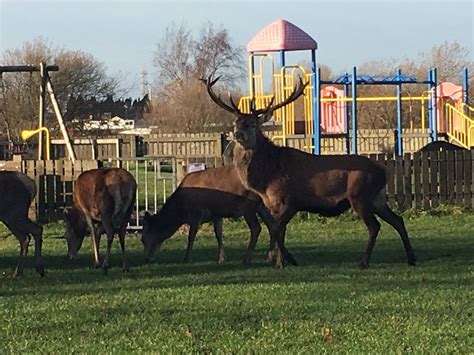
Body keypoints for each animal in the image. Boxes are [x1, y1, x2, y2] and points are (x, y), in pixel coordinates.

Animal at [142, 164, 274, 264]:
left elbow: (191, 236)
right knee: (271, 225)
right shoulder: (216, 214)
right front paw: (222, 258)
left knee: (256, 228)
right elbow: (218, 234)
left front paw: (187, 258)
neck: (181, 213)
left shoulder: (197, 214)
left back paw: (247, 259)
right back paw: (269, 257)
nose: (147, 259)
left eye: (143, 239)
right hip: (262, 206)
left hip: (248, 206)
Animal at [202, 76, 416, 268]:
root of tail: (383, 171)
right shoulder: (273, 205)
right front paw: (280, 262)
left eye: (253, 124)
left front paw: (288, 260)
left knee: (374, 226)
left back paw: (364, 262)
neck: (267, 178)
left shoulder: (290, 200)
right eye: (236, 123)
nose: (238, 134)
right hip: (377, 198)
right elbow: (278, 231)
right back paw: (411, 258)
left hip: (360, 195)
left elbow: (277, 230)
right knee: (398, 220)